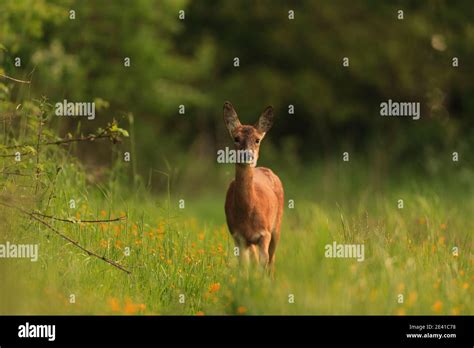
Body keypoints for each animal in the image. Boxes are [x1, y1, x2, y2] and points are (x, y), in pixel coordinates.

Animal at [223, 102, 284, 274]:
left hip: (277, 225)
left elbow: (264, 263)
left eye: (257, 140)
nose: (247, 155)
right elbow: (244, 267)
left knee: (271, 260)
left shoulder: (265, 233)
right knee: (255, 260)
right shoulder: (238, 236)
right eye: (236, 138)